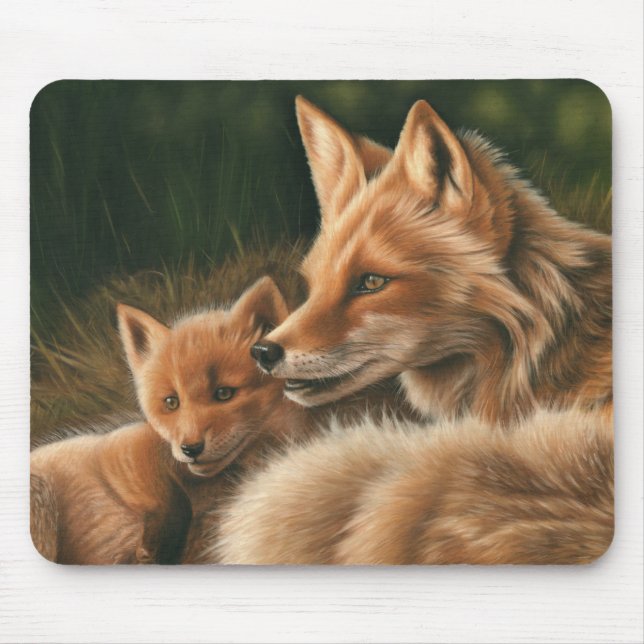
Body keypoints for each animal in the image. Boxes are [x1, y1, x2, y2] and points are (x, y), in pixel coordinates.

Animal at [30, 276, 310, 564]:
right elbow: (171, 499)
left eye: (224, 393)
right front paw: (156, 547)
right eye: (171, 402)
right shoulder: (121, 446)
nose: (191, 449)